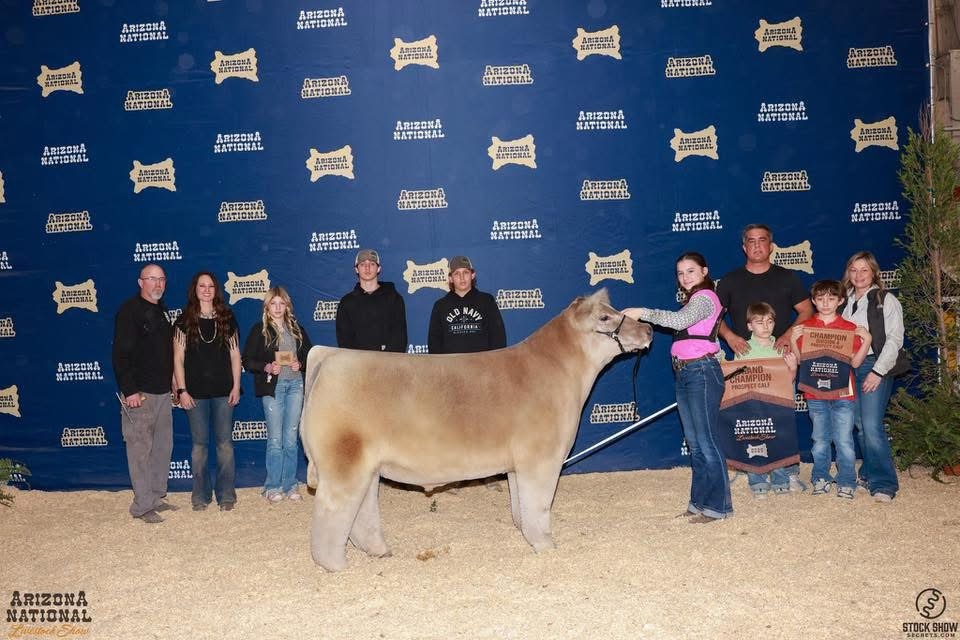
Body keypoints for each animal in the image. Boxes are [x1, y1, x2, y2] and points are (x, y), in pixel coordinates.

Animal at [300, 289, 653, 571]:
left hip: (367, 468)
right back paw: (336, 566)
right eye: (605, 317)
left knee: (361, 513)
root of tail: (329, 354)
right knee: (332, 514)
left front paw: (525, 532)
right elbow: (539, 506)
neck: (560, 371)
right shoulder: (542, 459)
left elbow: (521, 507)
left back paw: (379, 551)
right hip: (344, 464)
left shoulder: (518, 465)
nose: (648, 328)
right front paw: (546, 545)